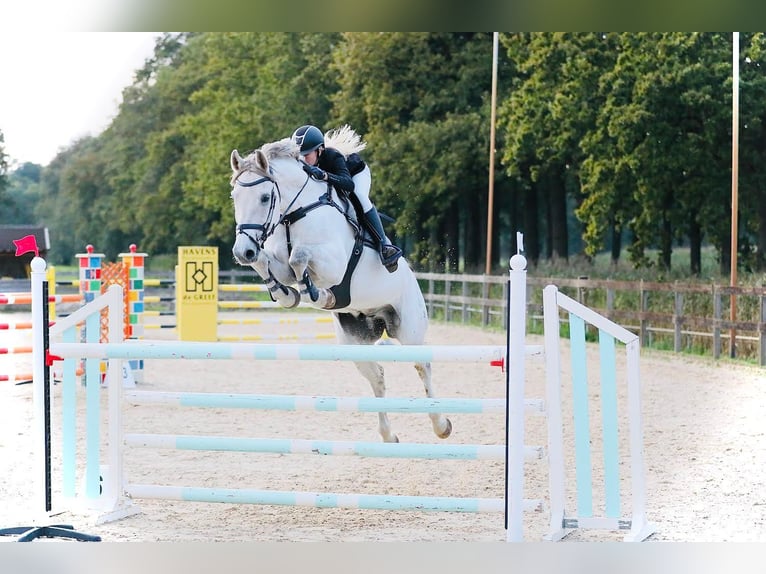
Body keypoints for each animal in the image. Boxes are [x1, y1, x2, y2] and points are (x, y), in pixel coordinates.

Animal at [229, 128, 451, 443]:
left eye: (264, 197)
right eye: (235, 196)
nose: (241, 252)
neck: (296, 212)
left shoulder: (333, 264)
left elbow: (300, 256)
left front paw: (315, 293)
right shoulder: (280, 265)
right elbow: (268, 265)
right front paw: (286, 294)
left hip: (409, 328)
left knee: (423, 365)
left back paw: (441, 425)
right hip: (354, 340)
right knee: (377, 376)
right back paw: (388, 436)